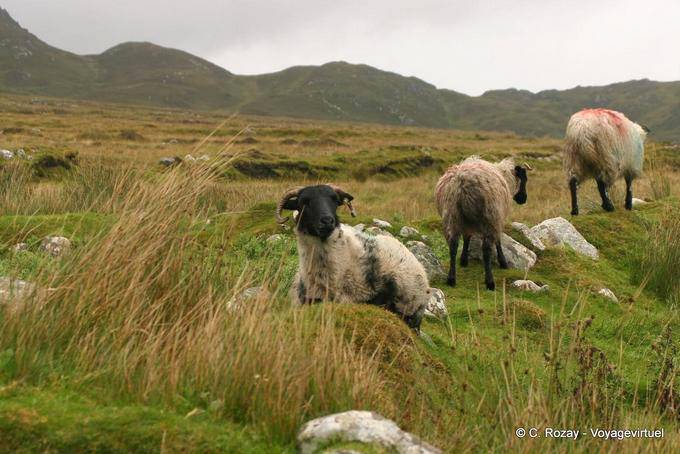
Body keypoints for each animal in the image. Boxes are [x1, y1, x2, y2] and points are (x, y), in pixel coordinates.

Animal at [435, 156, 529, 291]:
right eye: (524, 179)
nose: (523, 199)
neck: (505, 176)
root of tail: (462, 181)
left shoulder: (467, 221)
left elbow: (467, 238)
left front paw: (463, 260)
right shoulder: (497, 218)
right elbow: (498, 240)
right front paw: (503, 262)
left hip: (452, 214)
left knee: (453, 245)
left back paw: (451, 279)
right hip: (489, 215)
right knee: (486, 249)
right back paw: (490, 282)